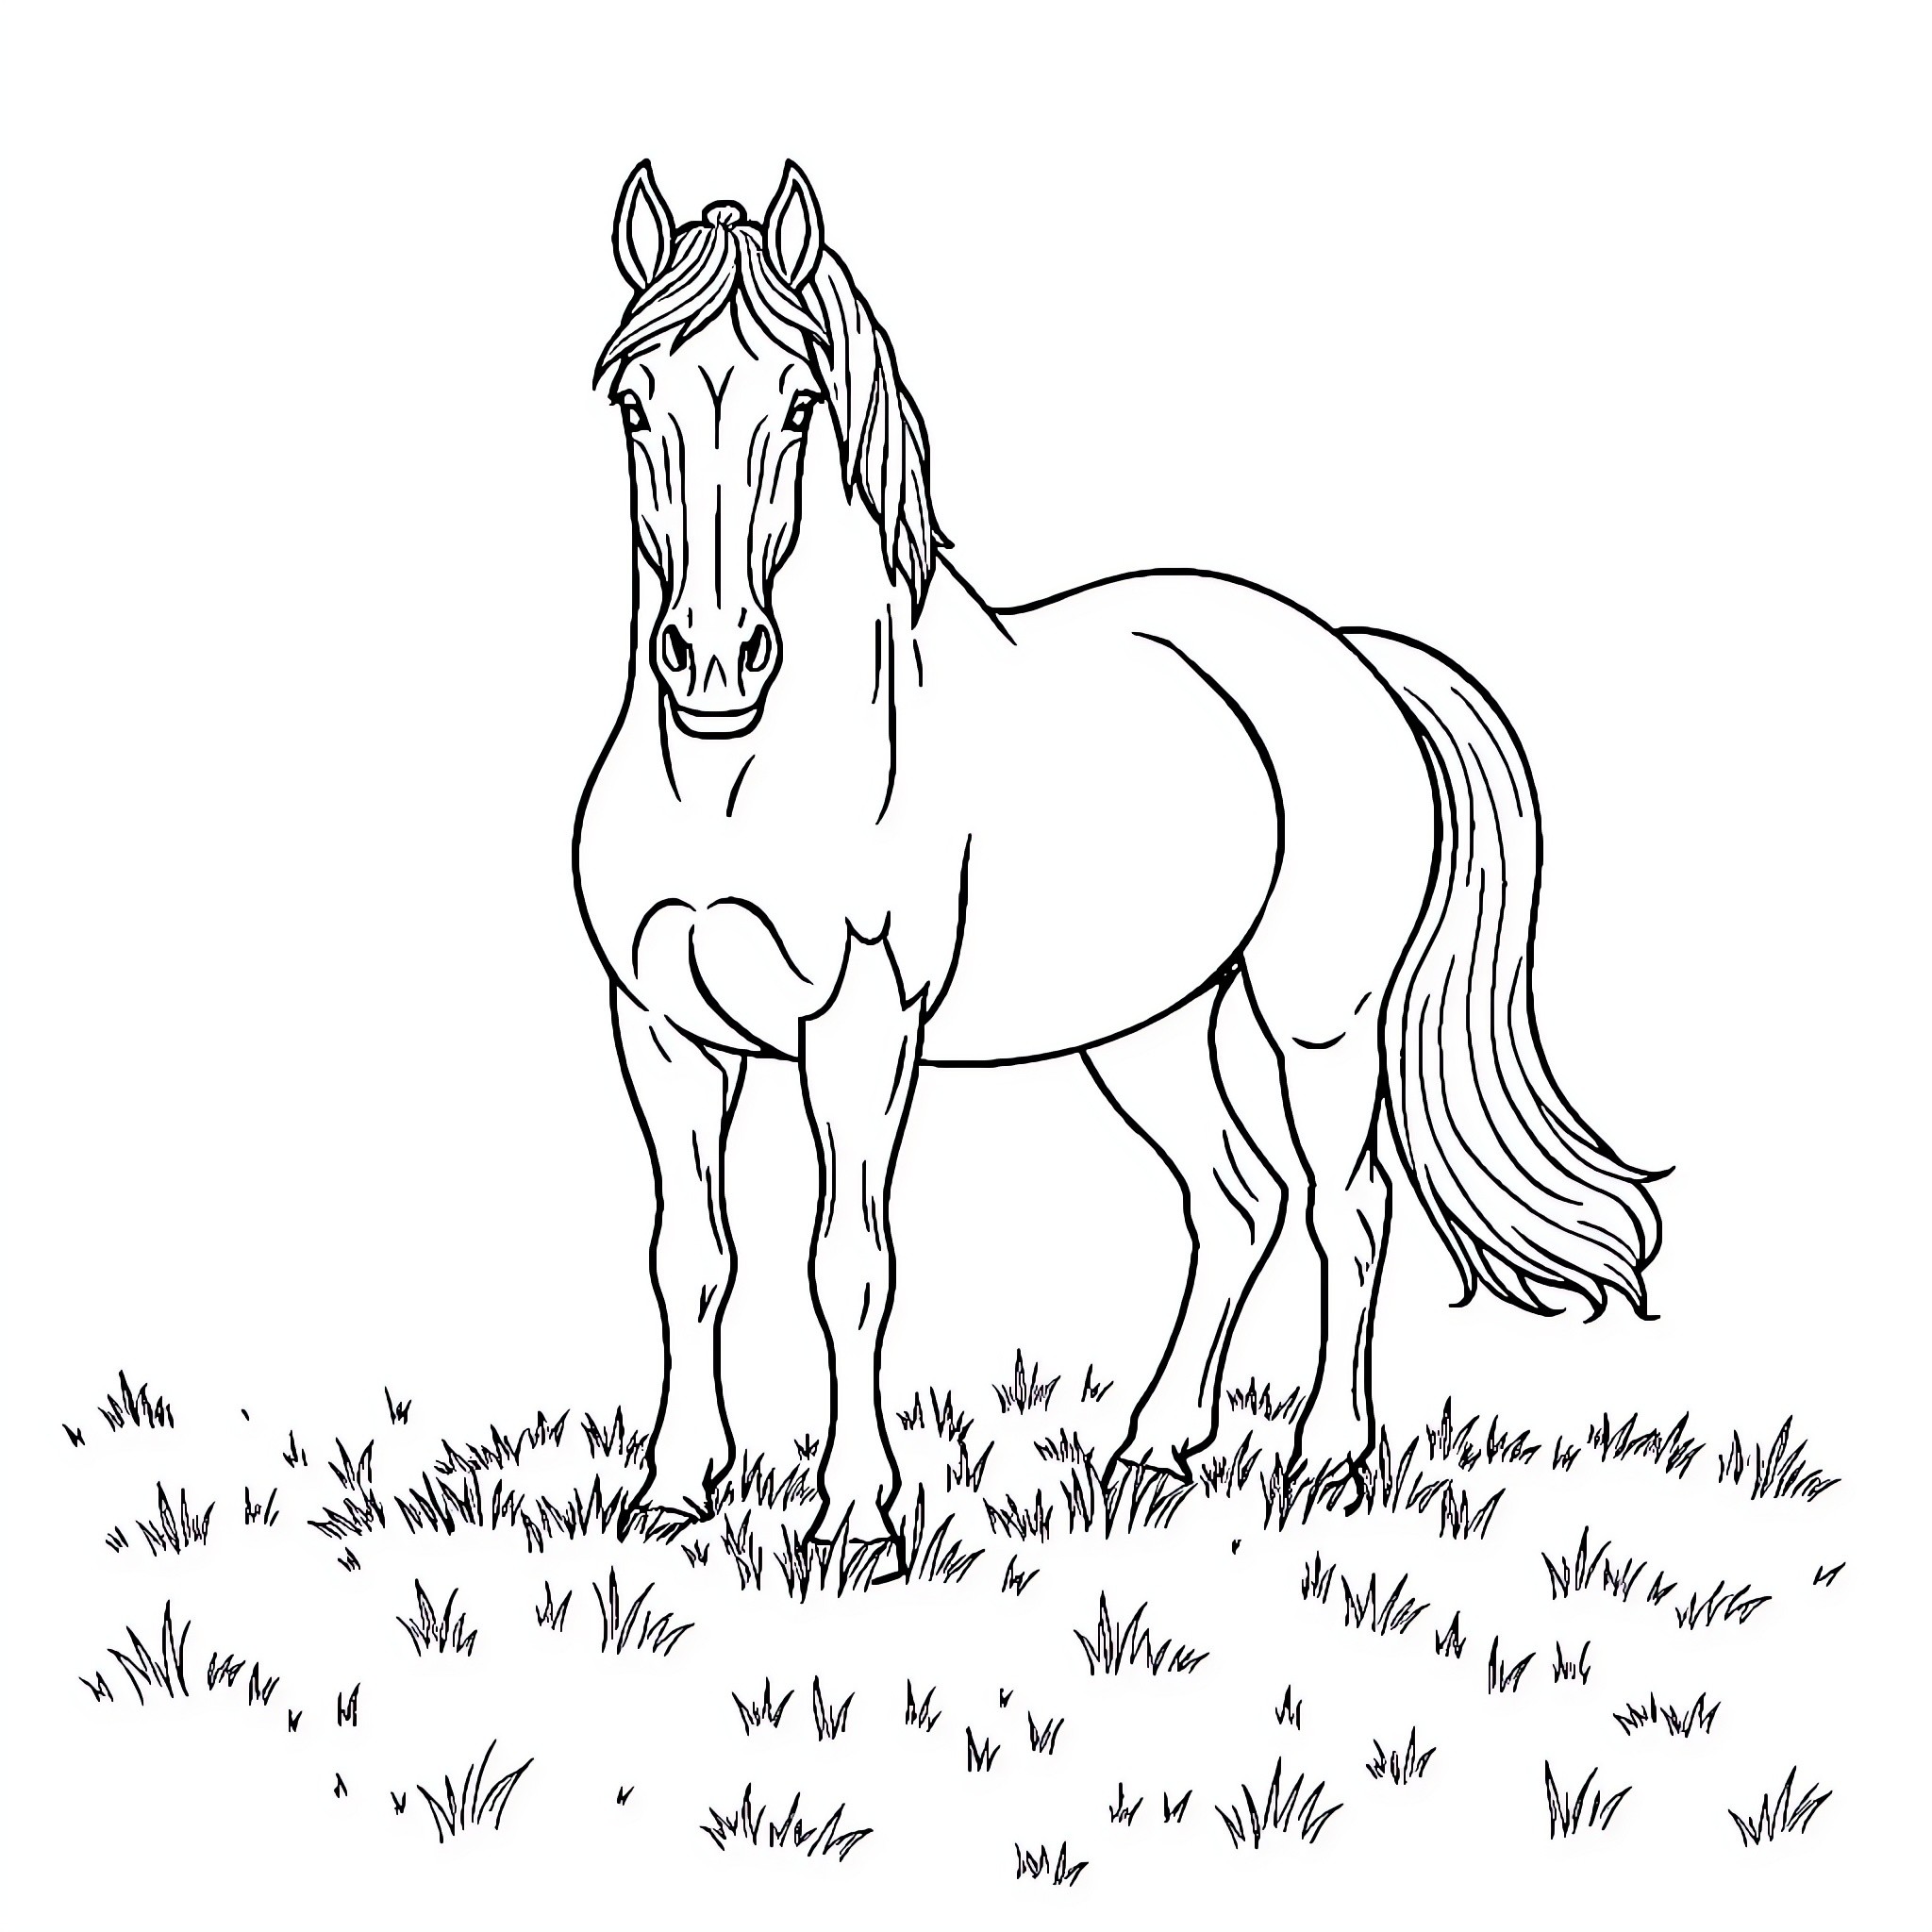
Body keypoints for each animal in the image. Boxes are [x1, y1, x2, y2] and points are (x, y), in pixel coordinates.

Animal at [572, 159, 1663, 1567]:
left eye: (801, 403)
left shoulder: (860, 1027)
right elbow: (690, 1259)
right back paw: (1152, 1445)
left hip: (1320, 1022)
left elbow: (846, 1263)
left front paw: (857, 1513)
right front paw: (671, 1488)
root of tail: (1353, 659)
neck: (740, 781)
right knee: (1235, 1201)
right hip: (1144, 1031)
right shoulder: (660, 1031)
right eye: (633, 401)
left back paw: (1326, 1455)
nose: (714, 659)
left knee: (1344, 1208)